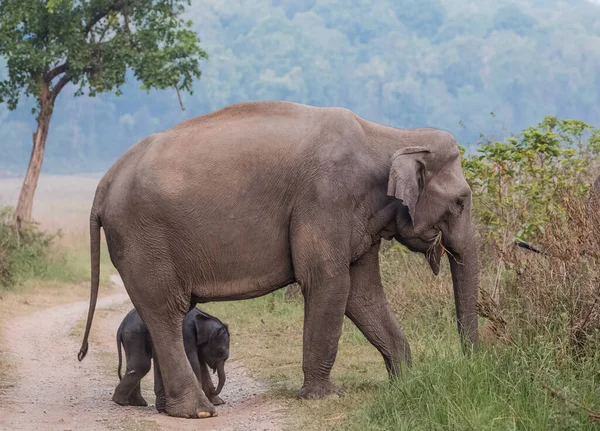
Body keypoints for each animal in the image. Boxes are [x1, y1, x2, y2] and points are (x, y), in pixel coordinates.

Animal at [77, 100, 478, 418]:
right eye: (461, 201)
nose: (472, 366)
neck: (392, 136)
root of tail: (103, 184)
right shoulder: (326, 199)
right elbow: (329, 282)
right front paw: (324, 397)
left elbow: (362, 295)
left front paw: (408, 380)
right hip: (143, 238)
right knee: (165, 311)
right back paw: (198, 412)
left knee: (165, 313)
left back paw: (170, 408)